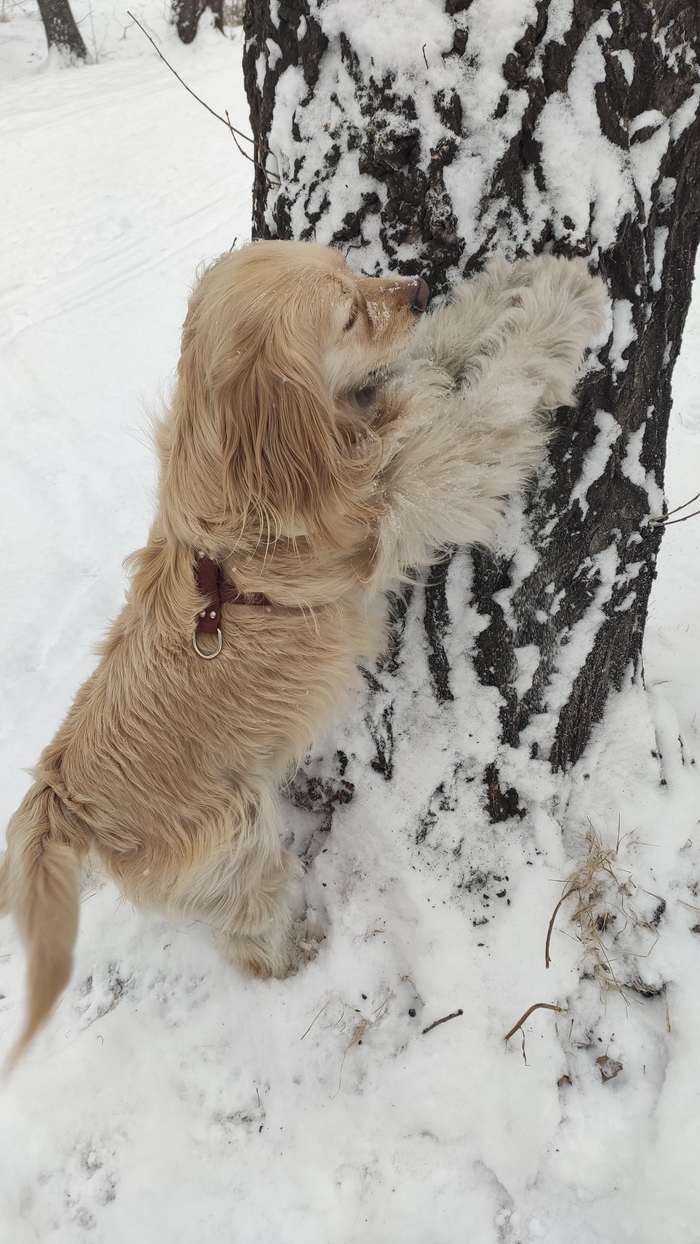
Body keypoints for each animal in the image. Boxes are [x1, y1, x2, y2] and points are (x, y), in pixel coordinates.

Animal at [0, 241, 606, 1065]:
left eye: (349, 265)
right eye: (347, 314)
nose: (417, 286)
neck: (258, 492)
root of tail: (64, 801)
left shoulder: (395, 410)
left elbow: (439, 352)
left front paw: (510, 283)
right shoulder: (426, 482)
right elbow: (494, 395)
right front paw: (564, 301)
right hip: (237, 860)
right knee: (249, 939)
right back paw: (303, 952)